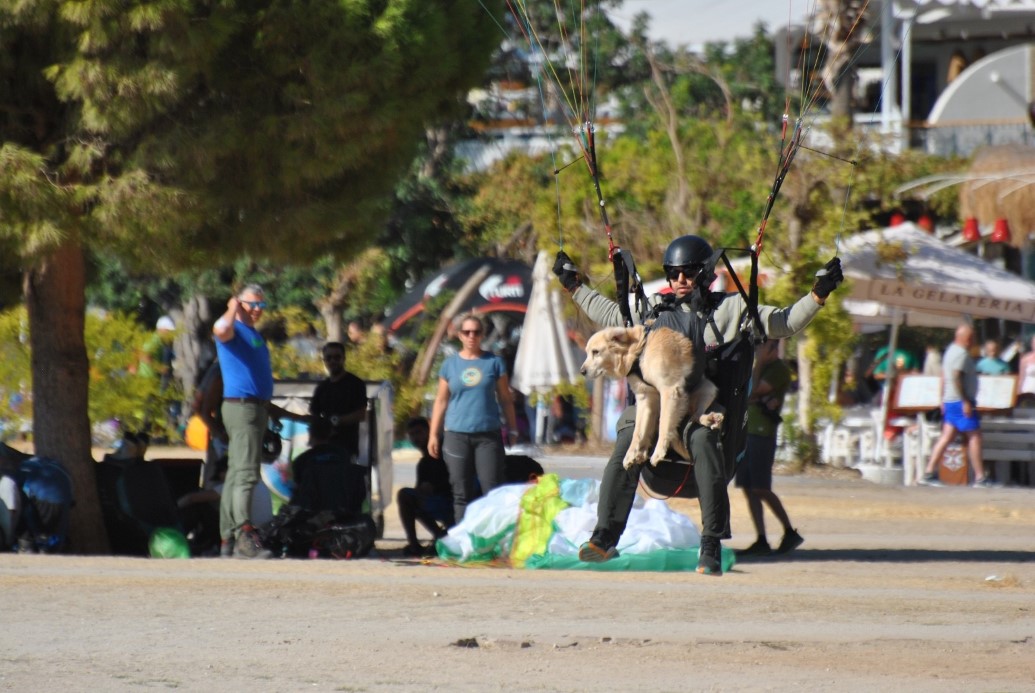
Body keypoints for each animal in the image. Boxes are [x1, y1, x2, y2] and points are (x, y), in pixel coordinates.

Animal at [583, 326, 720, 469]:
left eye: (595, 352)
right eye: (587, 352)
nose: (582, 371)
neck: (638, 351)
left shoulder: (669, 390)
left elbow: (664, 423)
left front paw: (658, 452)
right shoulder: (645, 398)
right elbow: (638, 431)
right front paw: (631, 454)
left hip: (708, 388)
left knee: (694, 416)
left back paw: (710, 418)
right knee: (692, 417)